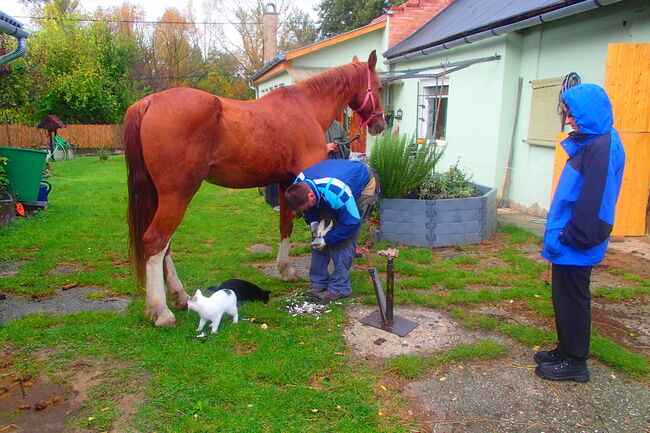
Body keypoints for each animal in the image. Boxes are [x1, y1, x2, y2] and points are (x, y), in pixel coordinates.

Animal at [124, 50, 382, 326]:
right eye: (378, 86)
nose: (380, 123)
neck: (305, 107)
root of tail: (149, 101)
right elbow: (321, 226)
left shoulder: (287, 183)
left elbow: (286, 226)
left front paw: (285, 270)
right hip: (177, 195)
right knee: (156, 241)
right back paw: (161, 311)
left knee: (165, 246)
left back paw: (179, 297)